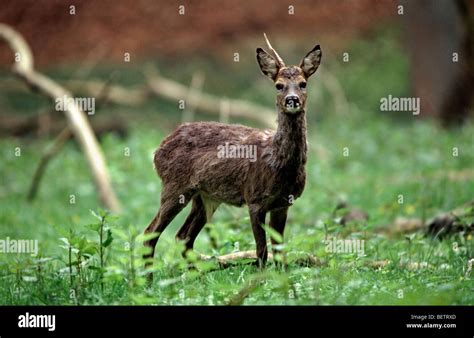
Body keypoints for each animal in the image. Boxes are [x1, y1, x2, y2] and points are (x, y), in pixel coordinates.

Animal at [143, 34, 322, 270]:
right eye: (278, 85)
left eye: (303, 83)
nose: (292, 100)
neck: (280, 164)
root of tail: (157, 152)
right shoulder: (254, 199)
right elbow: (262, 251)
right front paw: (263, 277)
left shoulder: (283, 203)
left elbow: (279, 251)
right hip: (174, 186)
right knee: (150, 233)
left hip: (205, 196)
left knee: (183, 236)